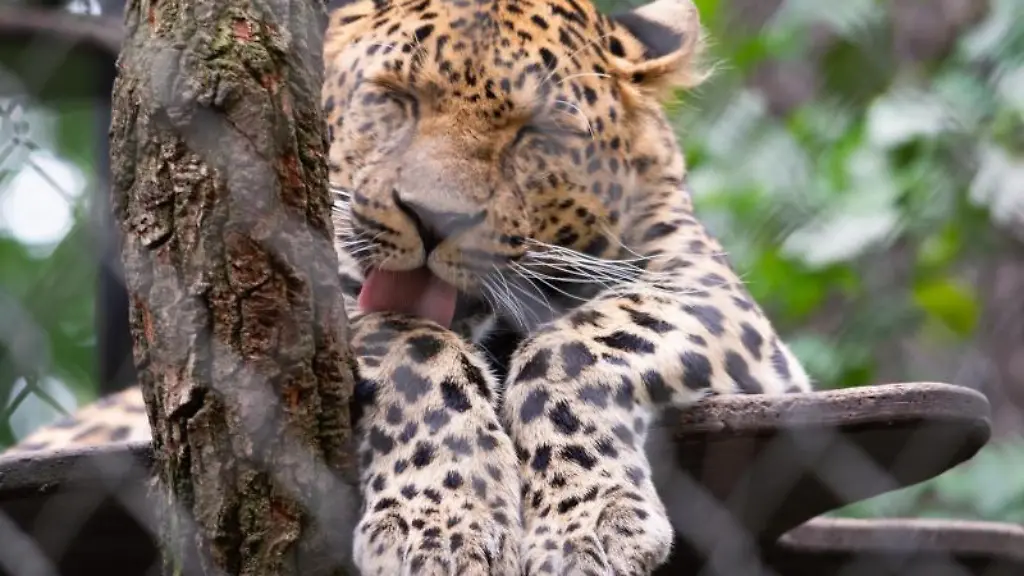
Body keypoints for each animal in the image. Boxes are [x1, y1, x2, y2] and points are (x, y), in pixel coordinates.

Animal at [2, 0, 813, 573]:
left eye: (534, 134)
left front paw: (589, 524)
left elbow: (574, 344)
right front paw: (446, 527)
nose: (433, 218)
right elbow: (414, 349)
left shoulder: (717, 301)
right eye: (396, 99)